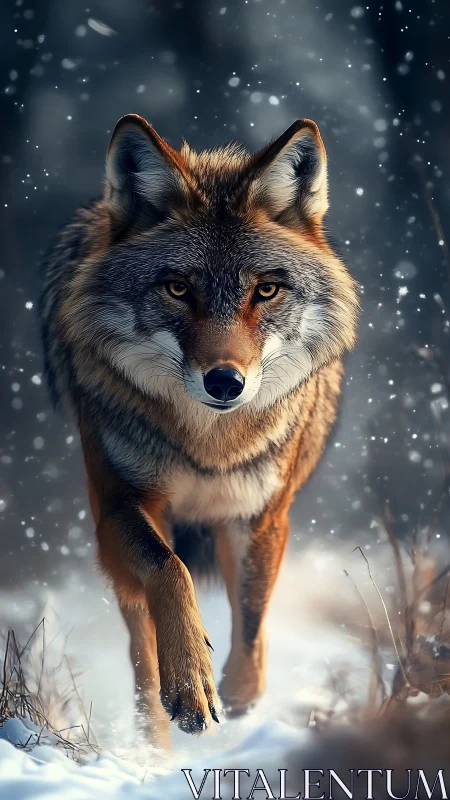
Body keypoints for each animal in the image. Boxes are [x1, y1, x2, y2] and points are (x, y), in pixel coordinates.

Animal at [39, 113, 358, 746]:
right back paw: (153, 740)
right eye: (178, 288)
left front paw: (239, 698)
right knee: (141, 650)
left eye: (266, 289)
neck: (209, 443)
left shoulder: (261, 517)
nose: (225, 382)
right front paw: (190, 686)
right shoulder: (120, 507)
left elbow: (252, 622)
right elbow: (171, 573)